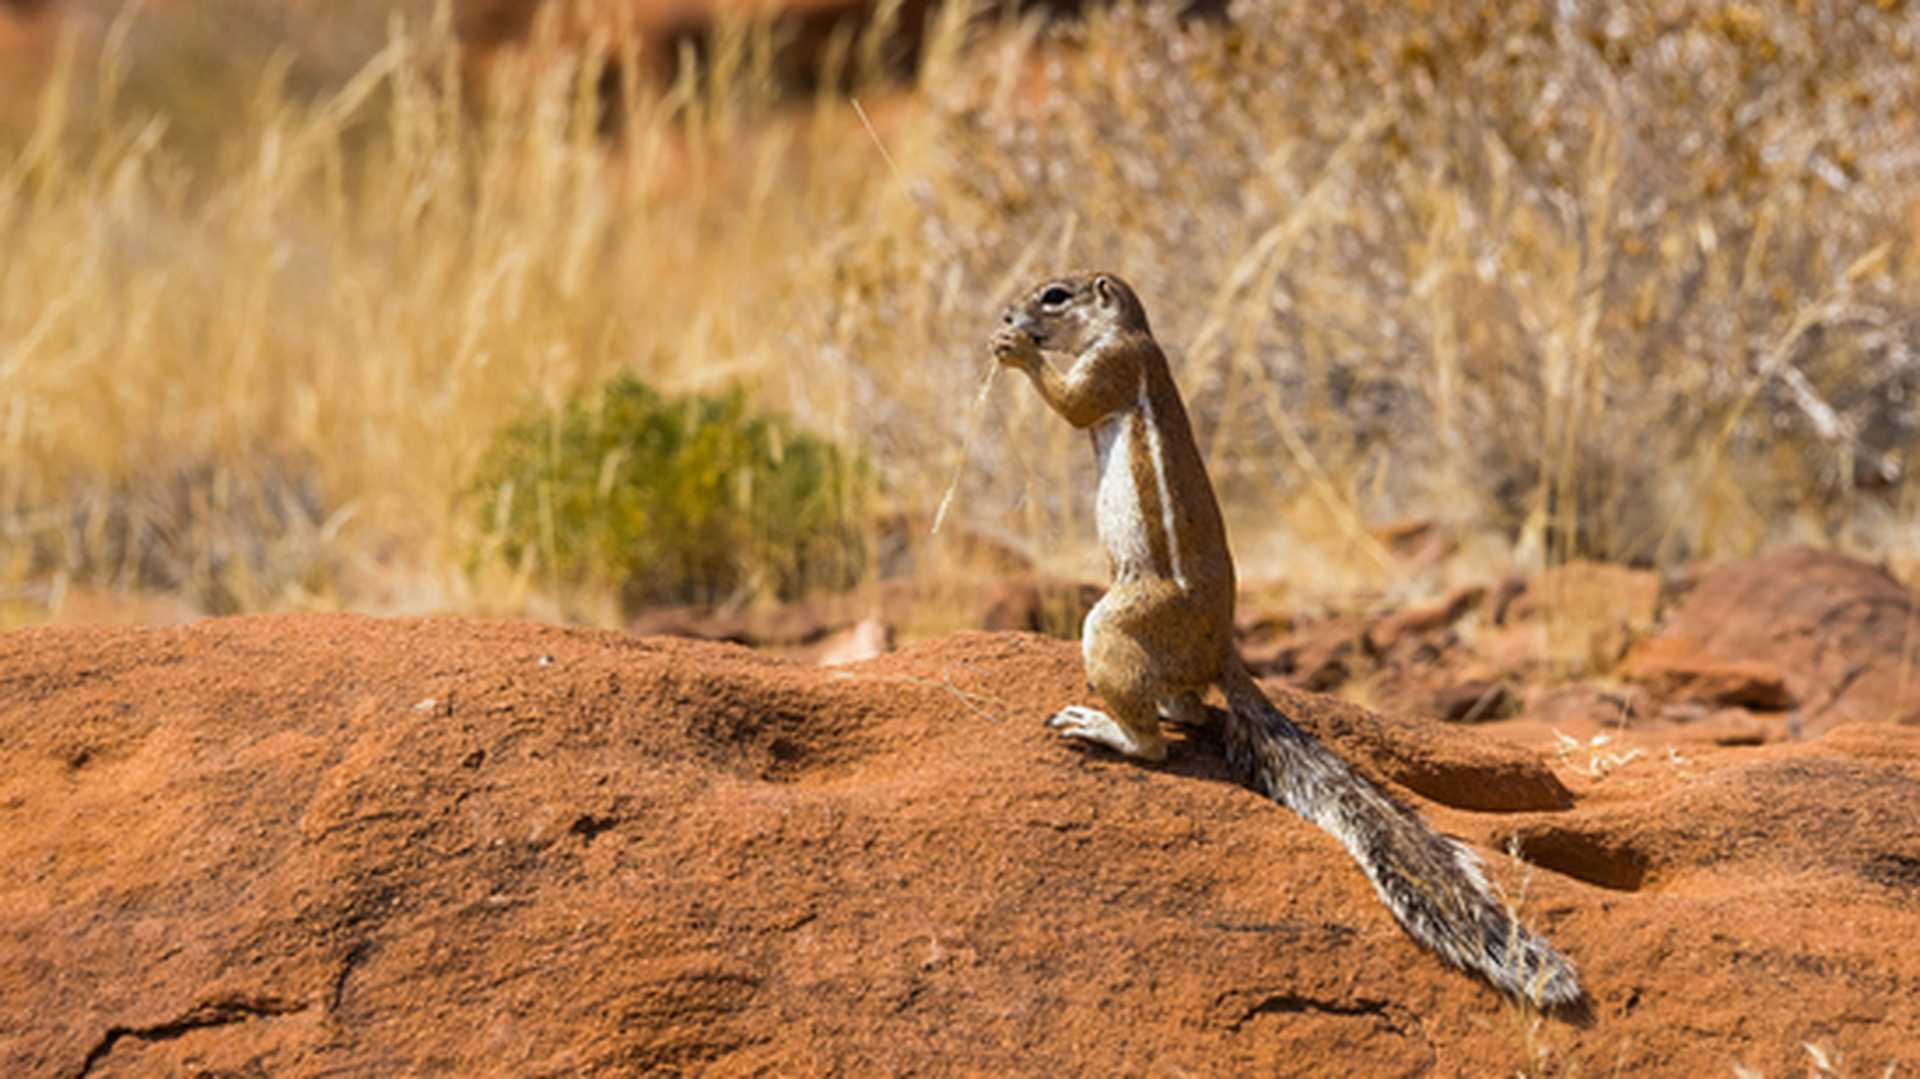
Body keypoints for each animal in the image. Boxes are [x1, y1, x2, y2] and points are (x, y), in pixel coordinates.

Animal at [989, 271, 1581, 1008]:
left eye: (1055, 295)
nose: (1006, 314)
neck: (1127, 329)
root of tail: (1225, 652)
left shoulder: (1112, 367)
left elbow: (1072, 403)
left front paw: (1015, 351)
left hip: (1115, 623)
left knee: (1156, 743)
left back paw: (1103, 726)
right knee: (1187, 709)